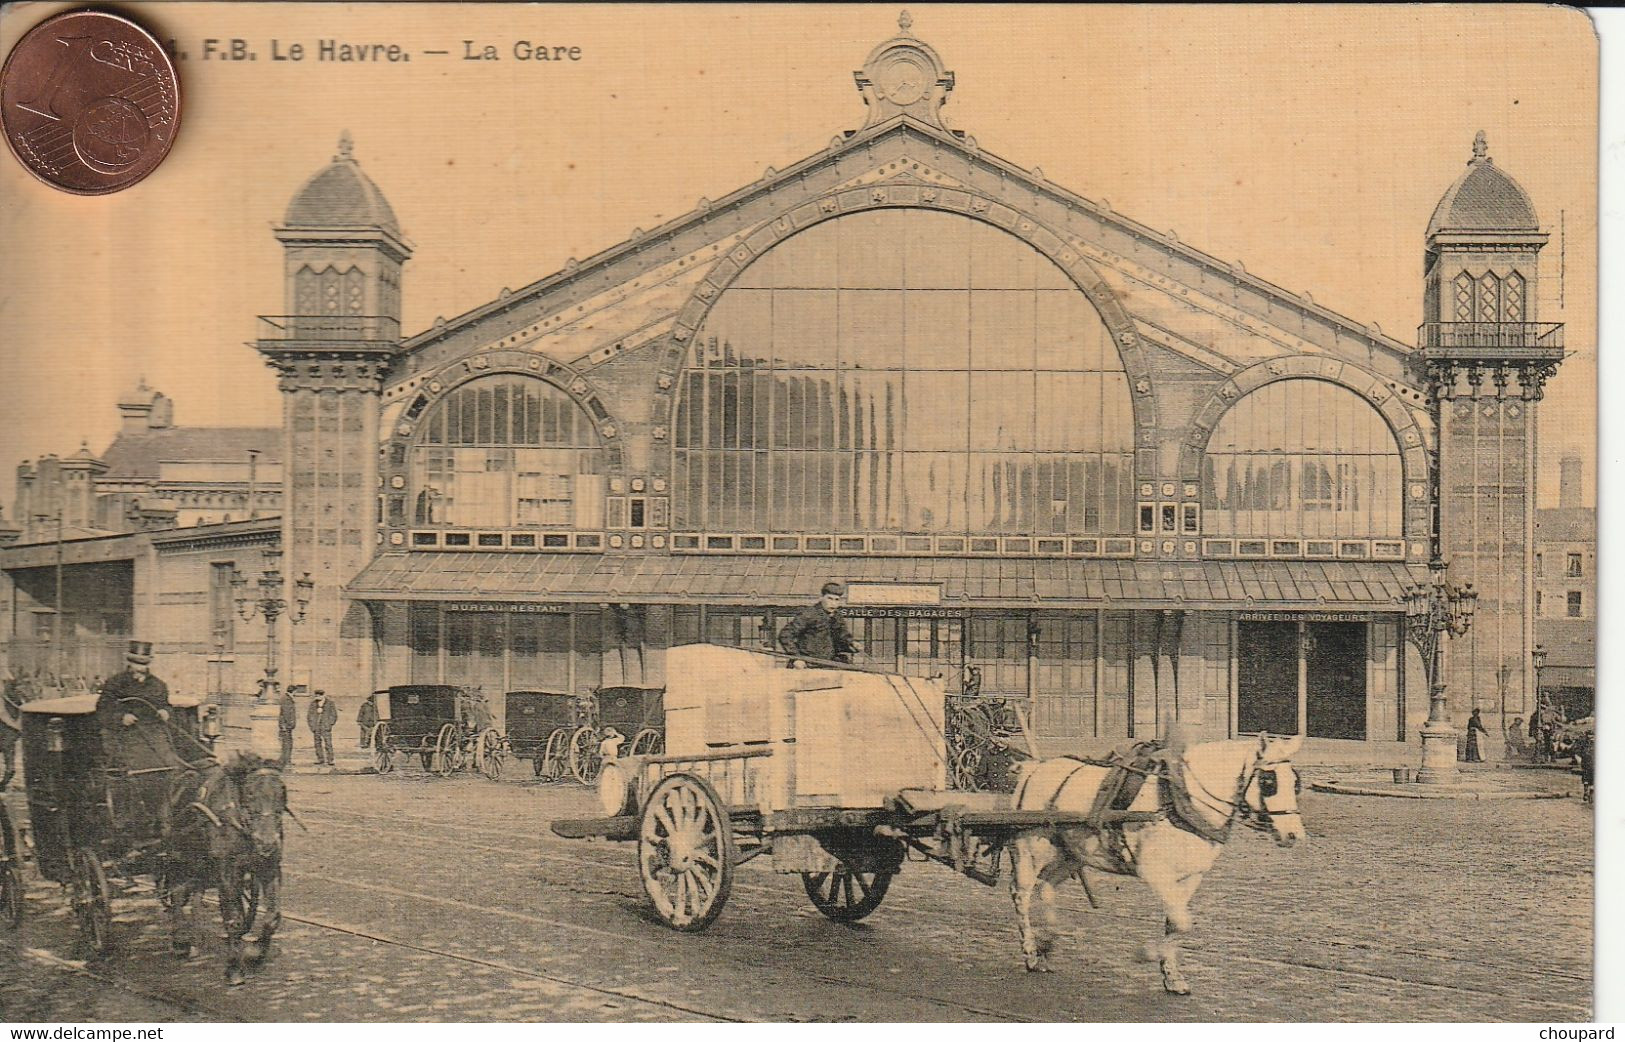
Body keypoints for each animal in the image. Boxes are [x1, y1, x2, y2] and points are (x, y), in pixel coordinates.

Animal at [160, 747, 287, 981]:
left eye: (282, 791)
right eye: (250, 793)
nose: (267, 842)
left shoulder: (269, 867)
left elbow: (273, 917)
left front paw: (255, 954)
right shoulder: (227, 871)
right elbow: (233, 919)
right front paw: (234, 968)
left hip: (200, 862)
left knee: (194, 893)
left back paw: (195, 938)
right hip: (177, 855)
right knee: (177, 892)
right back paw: (180, 941)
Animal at [1001, 728, 1306, 994]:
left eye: (1296, 782)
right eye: (1268, 782)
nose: (1294, 835)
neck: (1179, 802)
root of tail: (1033, 769)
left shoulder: (1191, 877)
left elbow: (1175, 922)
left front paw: (1172, 977)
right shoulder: (1154, 871)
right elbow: (1182, 922)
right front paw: (1146, 953)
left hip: (1071, 854)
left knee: (1047, 887)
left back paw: (1048, 940)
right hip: (1031, 849)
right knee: (1021, 894)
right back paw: (1030, 952)